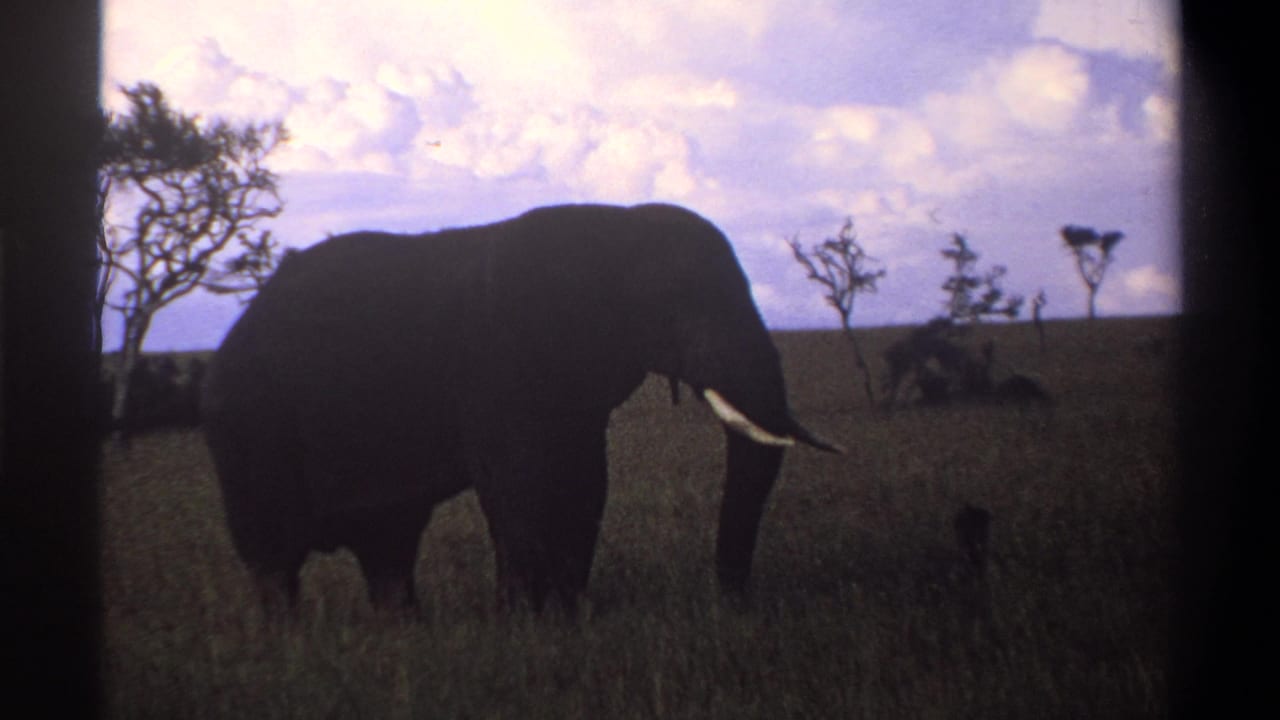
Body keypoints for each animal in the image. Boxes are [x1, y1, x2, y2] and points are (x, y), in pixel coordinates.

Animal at [201, 202, 841, 617]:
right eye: (680, 304)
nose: (730, 604)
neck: (614, 226)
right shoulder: (496, 360)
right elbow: (521, 481)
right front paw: (528, 624)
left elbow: (584, 481)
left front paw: (569, 615)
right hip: (250, 427)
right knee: (274, 553)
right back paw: (290, 641)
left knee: (389, 544)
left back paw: (402, 630)